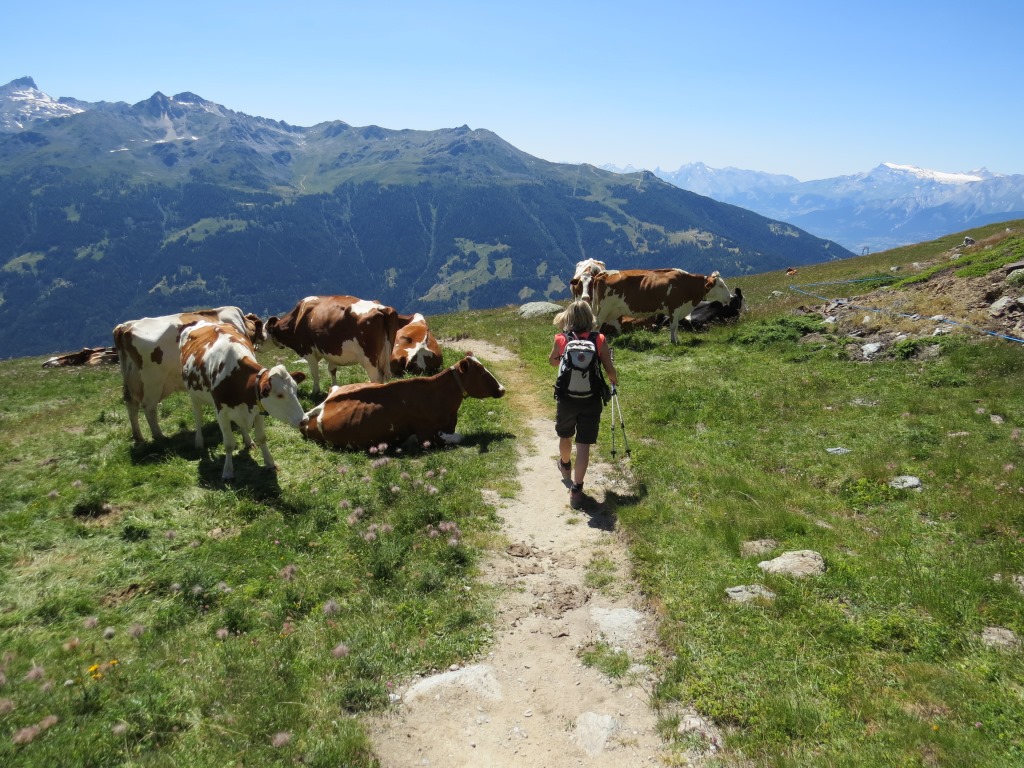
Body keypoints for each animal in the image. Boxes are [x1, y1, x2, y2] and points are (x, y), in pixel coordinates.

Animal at [114, 303, 266, 442]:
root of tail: (125, 327)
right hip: (152, 382)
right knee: (149, 407)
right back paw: (160, 437)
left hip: (132, 379)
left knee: (131, 404)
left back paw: (139, 437)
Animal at [180, 319, 307, 481]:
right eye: (279, 395)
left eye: (296, 390)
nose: (304, 420)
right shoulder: (221, 412)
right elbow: (229, 443)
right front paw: (228, 472)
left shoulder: (257, 407)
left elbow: (262, 437)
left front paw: (270, 463)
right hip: (193, 395)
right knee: (198, 417)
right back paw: (199, 442)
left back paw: (248, 441)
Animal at [262, 290, 401, 393]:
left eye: (262, 334)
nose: (257, 347)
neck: (298, 317)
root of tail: (381, 308)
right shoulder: (331, 351)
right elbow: (332, 370)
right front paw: (334, 388)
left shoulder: (308, 350)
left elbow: (314, 372)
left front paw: (315, 391)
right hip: (385, 354)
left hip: (369, 359)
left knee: (376, 378)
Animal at [585, 268, 737, 344]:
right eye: (721, 285)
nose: (730, 297)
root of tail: (602, 273)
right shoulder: (675, 307)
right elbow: (673, 326)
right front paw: (673, 342)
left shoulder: (676, 310)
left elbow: (675, 326)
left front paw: (676, 339)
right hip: (603, 309)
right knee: (596, 325)